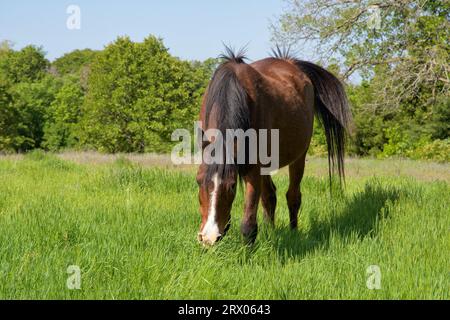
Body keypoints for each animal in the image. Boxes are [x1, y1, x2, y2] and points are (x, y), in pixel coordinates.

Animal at [196, 47, 352, 245]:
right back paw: (271, 233)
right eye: (198, 181)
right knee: (270, 196)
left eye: (232, 186)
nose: (208, 237)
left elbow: (248, 225)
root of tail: (291, 63)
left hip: (299, 157)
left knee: (293, 196)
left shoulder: (252, 169)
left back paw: (293, 233)